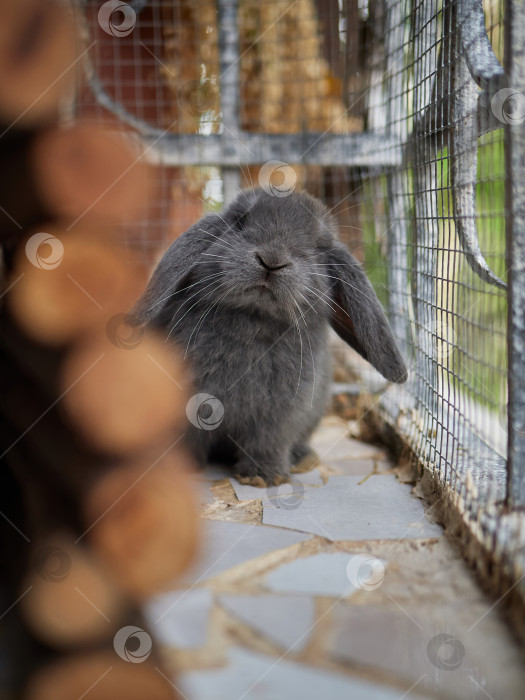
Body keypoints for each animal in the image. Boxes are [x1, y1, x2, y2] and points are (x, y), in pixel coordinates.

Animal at [132, 189, 406, 486]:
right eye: (240, 222)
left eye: (319, 245)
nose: (272, 260)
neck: (253, 318)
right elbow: (188, 438)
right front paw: (181, 468)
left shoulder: (280, 415)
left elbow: (267, 441)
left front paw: (263, 476)